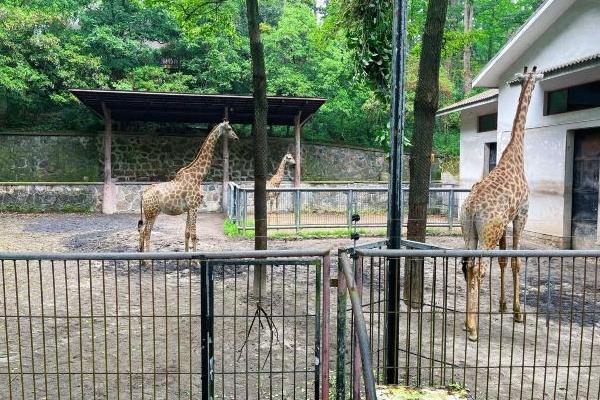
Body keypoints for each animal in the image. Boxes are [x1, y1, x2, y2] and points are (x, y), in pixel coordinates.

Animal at [137, 120, 238, 255]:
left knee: (143, 231)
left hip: (149, 213)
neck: (198, 176)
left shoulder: (189, 208)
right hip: (152, 213)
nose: (236, 137)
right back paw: (147, 258)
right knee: (146, 232)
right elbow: (194, 234)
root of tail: (143, 195)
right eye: (230, 128)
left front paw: (187, 255)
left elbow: (187, 233)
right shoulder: (194, 206)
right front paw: (196, 258)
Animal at [460, 65, 544, 340]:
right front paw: (518, 313)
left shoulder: (505, 223)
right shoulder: (521, 214)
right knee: (478, 269)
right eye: (537, 76)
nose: (538, 79)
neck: (515, 155)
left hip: (470, 232)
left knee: (469, 266)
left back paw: (467, 323)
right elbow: (516, 260)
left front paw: (503, 305)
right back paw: (473, 329)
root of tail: (472, 208)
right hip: (488, 233)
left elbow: (504, 260)